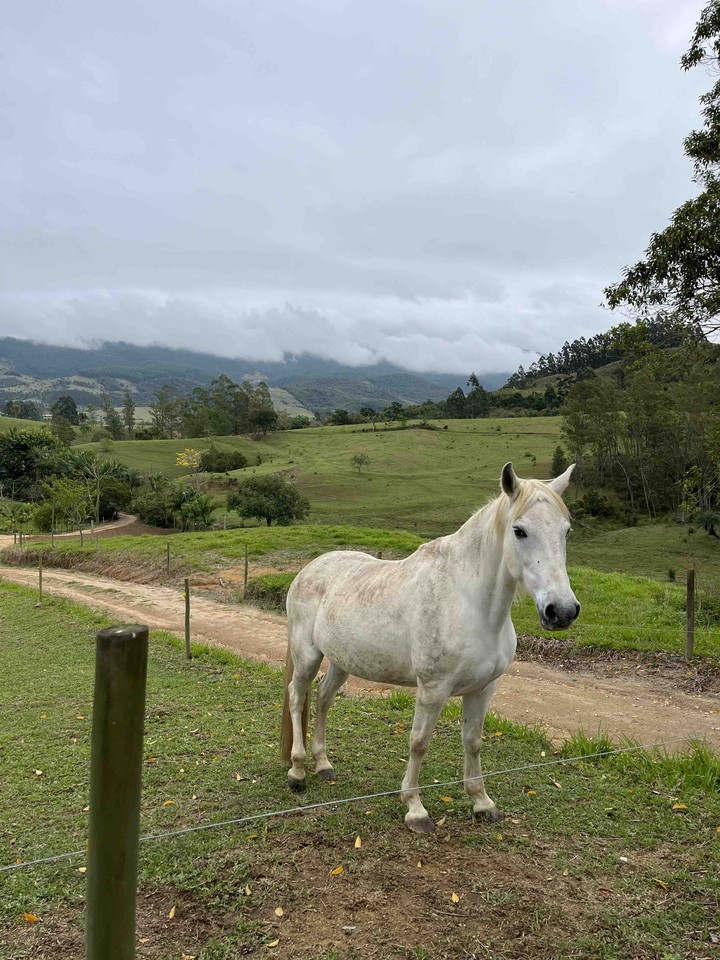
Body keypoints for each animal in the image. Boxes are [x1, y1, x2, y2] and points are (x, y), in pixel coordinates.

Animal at [280, 461, 579, 833]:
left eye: (566, 531)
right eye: (519, 531)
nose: (561, 611)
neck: (469, 602)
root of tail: (309, 569)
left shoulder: (483, 688)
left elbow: (473, 741)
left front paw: (482, 802)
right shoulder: (433, 689)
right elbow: (419, 742)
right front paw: (415, 808)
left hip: (341, 661)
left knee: (323, 698)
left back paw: (324, 765)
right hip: (307, 655)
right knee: (297, 696)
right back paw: (298, 771)